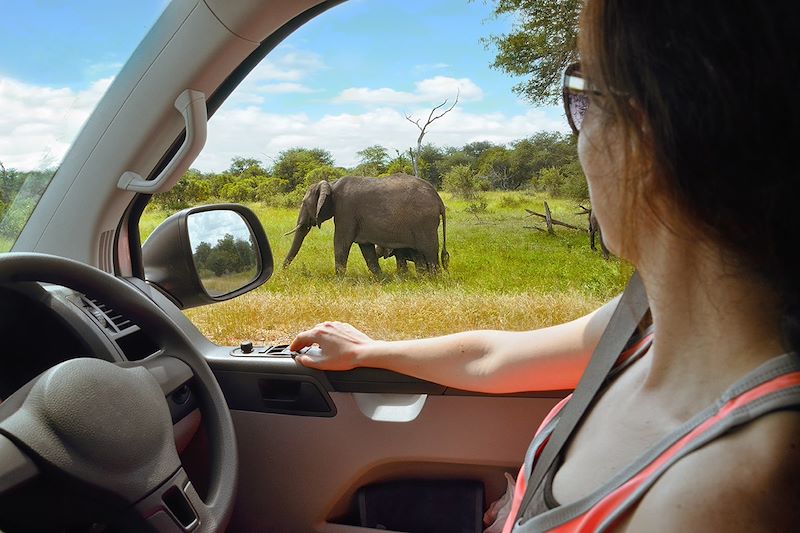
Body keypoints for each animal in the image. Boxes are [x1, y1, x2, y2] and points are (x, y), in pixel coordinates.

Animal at [282, 174, 446, 276]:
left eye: (304, 203)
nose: (282, 272)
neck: (331, 184)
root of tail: (438, 199)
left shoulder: (345, 211)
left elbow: (341, 243)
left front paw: (339, 281)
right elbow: (366, 249)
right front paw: (382, 279)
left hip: (425, 222)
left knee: (430, 251)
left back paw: (434, 280)